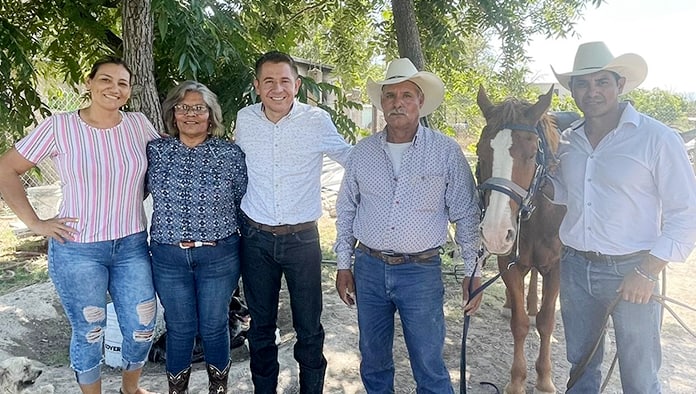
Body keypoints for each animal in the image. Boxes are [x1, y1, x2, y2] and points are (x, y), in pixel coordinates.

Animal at [476, 87, 568, 394]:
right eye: (481, 152)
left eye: (531, 155)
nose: (494, 232)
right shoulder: (509, 262)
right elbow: (519, 324)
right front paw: (517, 380)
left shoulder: (557, 267)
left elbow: (547, 322)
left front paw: (544, 377)